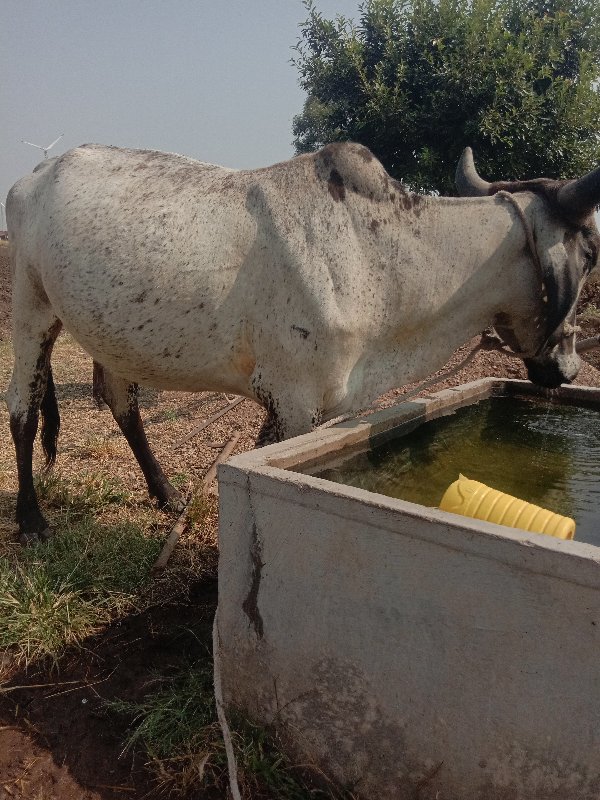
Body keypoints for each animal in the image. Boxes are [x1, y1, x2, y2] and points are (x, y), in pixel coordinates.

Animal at [5, 144, 600, 544]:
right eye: (591, 252)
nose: (569, 368)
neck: (380, 253)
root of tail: (33, 175)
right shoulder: (291, 400)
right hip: (32, 311)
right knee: (23, 412)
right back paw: (31, 519)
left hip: (110, 333)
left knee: (120, 401)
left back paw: (166, 493)